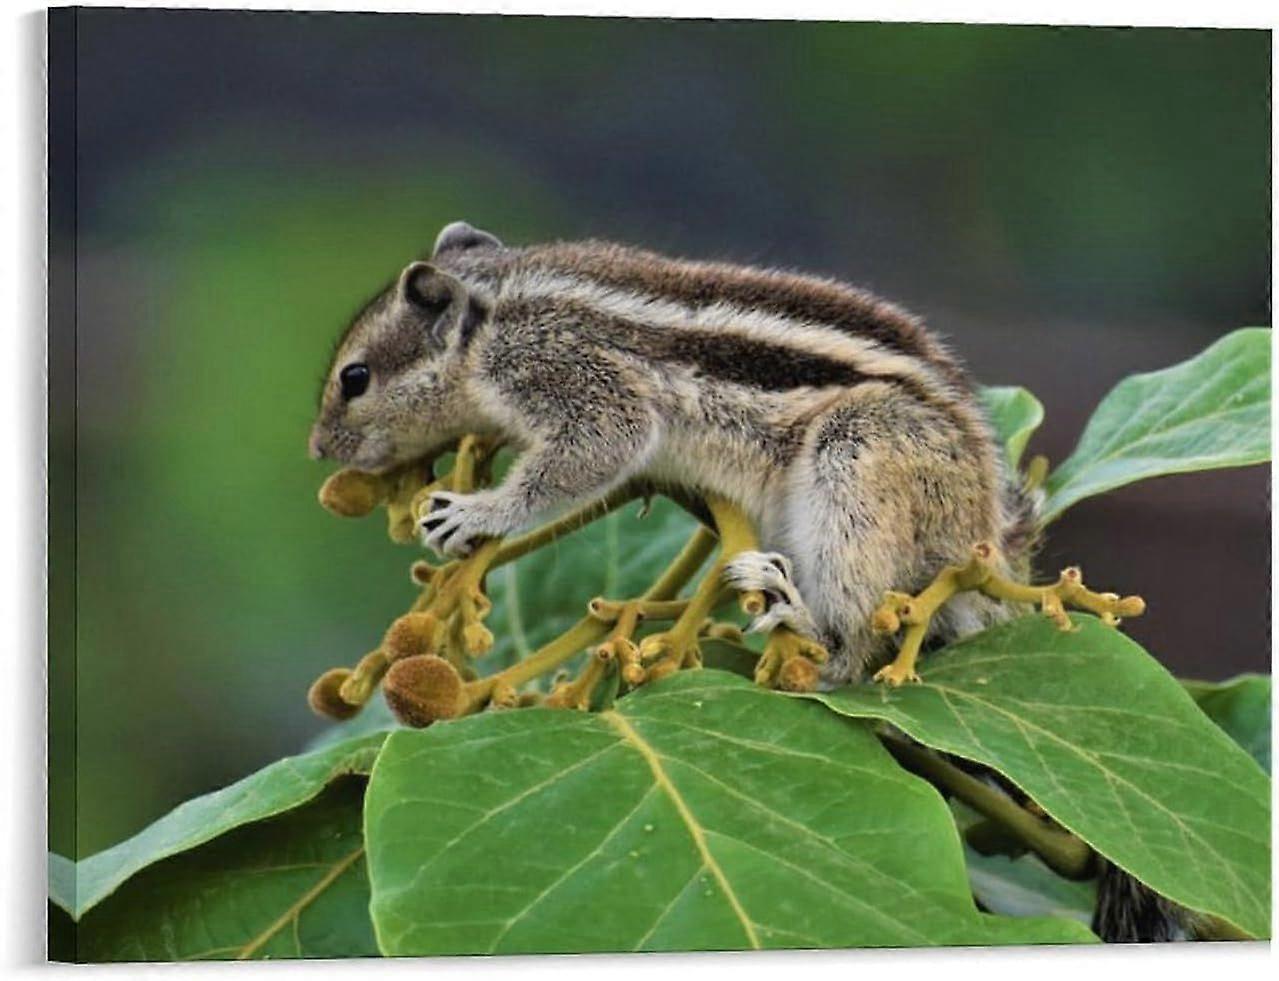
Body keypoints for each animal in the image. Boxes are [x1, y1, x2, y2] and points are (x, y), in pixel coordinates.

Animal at [308, 220, 1040, 687]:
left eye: (355, 378)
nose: (317, 447)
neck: (492, 316)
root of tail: (983, 540)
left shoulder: (571, 377)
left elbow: (599, 445)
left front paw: (477, 512)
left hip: (859, 457)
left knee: (864, 640)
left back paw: (799, 613)